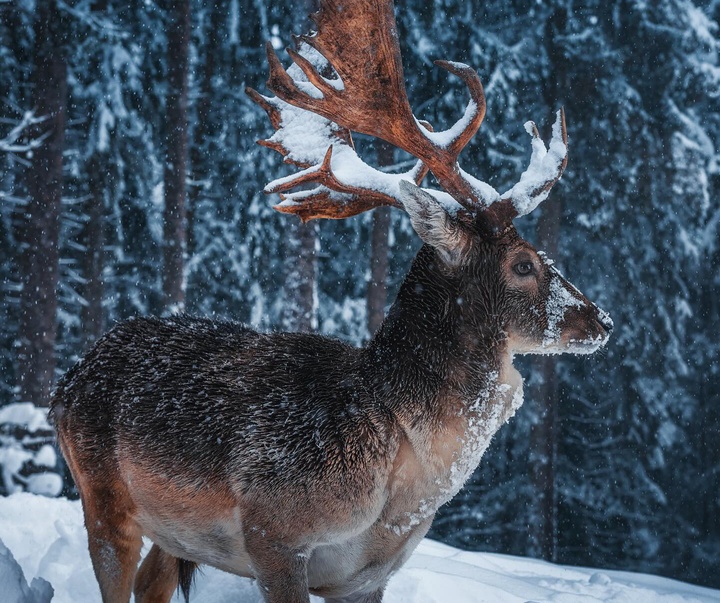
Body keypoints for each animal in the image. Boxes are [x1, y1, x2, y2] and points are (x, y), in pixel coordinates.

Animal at [50, 1, 612, 603]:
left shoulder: (369, 576)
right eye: (524, 263)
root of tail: (68, 381)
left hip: (176, 533)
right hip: (101, 495)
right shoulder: (273, 532)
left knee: (153, 583)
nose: (601, 320)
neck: (397, 492)